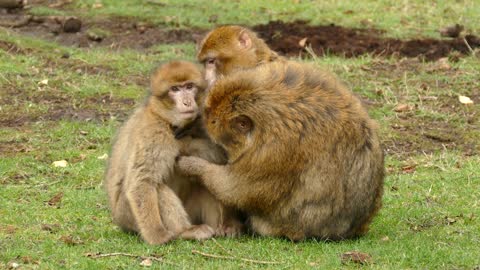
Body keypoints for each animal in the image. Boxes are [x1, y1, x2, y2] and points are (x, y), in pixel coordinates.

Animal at [103, 60, 242, 245]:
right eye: (175, 89)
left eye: (189, 87)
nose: (187, 102)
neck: (167, 120)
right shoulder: (154, 133)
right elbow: (142, 183)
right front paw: (157, 236)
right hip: (127, 215)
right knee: (157, 187)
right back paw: (185, 231)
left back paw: (224, 226)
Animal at [174, 60, 384, 240]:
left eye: (213, 121)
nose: (203, 118)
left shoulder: (272, 152)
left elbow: (236, 189)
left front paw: (192, 166)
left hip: (287, 225)